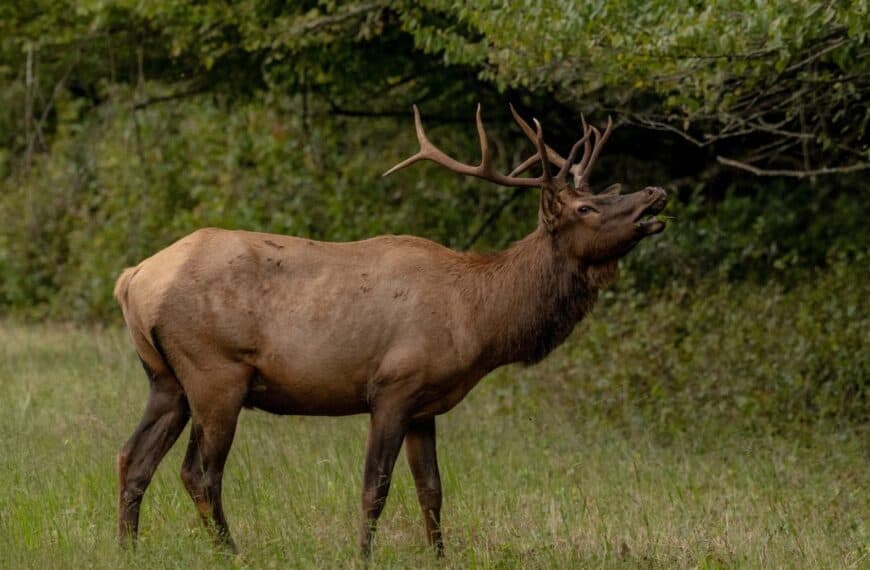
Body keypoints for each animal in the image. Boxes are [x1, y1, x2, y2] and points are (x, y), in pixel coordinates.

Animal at [113, 103, 667, 558]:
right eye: (585, 208)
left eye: (601, 193)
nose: (654, 192)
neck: (478, 319)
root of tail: (132, 279)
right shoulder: (393, 387)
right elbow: (375, 486)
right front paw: (363, 555)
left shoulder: (426, 404)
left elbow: (432, 490)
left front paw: (440, 557)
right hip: (215, 373)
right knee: (199, 472)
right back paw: (231, 551)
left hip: (166, 379)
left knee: (132, 457)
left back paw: (128, 548)